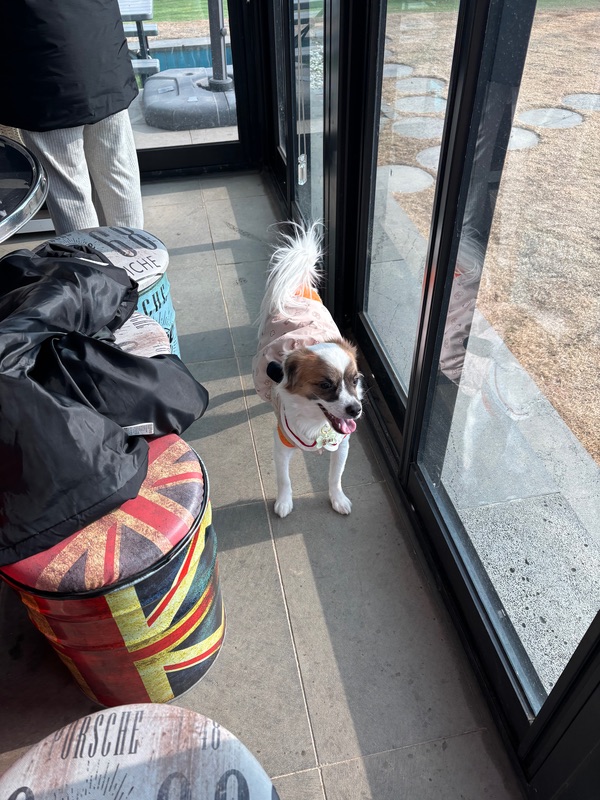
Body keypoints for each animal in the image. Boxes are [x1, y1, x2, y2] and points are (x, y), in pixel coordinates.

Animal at [252, 222, 363, 518]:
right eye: (325, 385)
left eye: (355, 381)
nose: (356, 409)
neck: (318, 425)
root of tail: (295, 288)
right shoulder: (281, 444)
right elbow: (284, 479)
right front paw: (284, 502)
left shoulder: (342, 445)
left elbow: (335, 477)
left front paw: (338, 499)